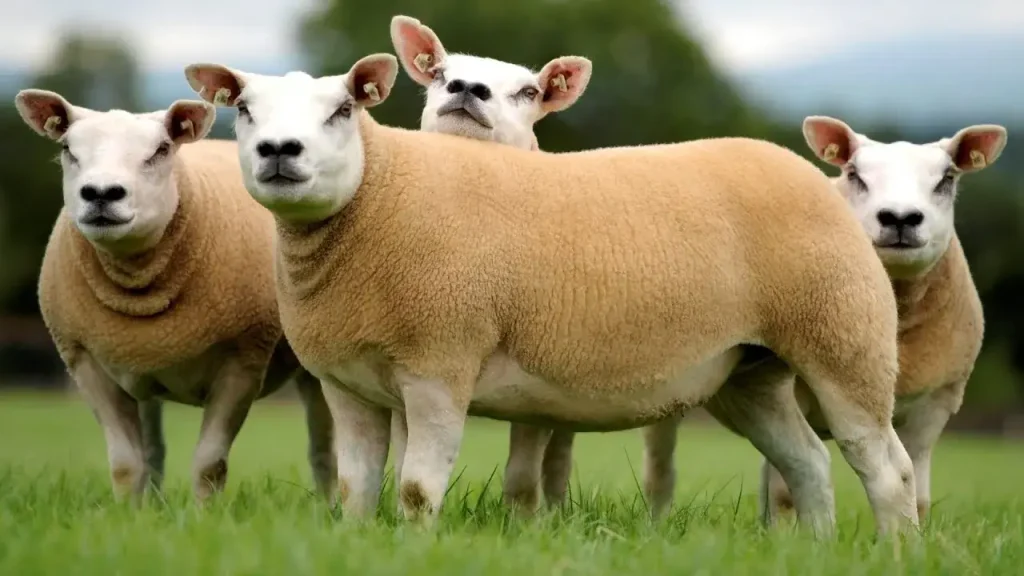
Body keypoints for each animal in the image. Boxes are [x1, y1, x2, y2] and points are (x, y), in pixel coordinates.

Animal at [13, 90, 335, 502]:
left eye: (161, 149)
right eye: (68, 148)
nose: (101, 194)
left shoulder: (242, 361)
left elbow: (209, 465)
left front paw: (203, 515)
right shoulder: (86, 362)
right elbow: (126, 466)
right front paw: (129, 514)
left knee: (323, 449)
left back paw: (329, 508)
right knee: (153, 452)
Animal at [642, 117, 1005, 525]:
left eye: (947, 178)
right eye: (854, 174)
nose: (899, 218)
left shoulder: (934, 407)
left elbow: (920, 495)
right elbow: (783, 492)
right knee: (661, 466)